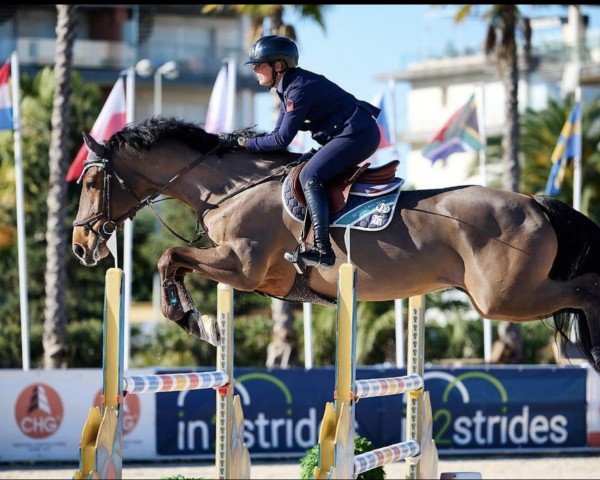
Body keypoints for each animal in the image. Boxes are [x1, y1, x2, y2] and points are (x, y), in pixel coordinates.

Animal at [72, 117, 600, 376]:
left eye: (92, 182)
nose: (80, 245)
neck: (231, 188)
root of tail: (534, 202)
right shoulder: (252, 276)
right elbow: (175, 262)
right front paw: (196, 319)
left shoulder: (242, 267)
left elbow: (170, 258)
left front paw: (191, 320)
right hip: (508, 297)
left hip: (504, 299)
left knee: (587, 288)